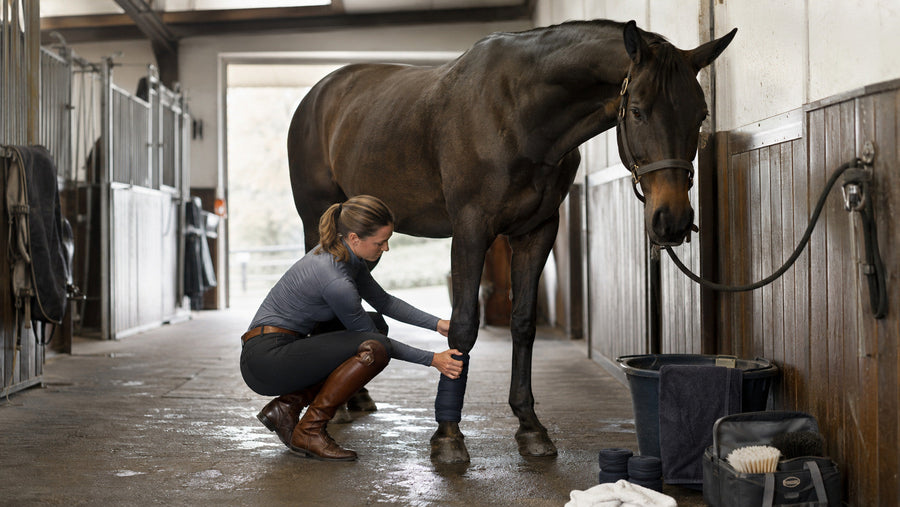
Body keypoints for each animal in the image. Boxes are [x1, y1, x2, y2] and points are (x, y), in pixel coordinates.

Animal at [287, 19, 736, 464]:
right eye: (639, 110)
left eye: (701, 113)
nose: (672, 220)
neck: (520, 114)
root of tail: (319, 93)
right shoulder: (471, 230)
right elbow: (463, 327)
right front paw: (448, 435)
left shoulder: (537, 232)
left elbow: (523, 323)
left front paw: (530, 427)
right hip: (319, 222)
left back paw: (356, 397)